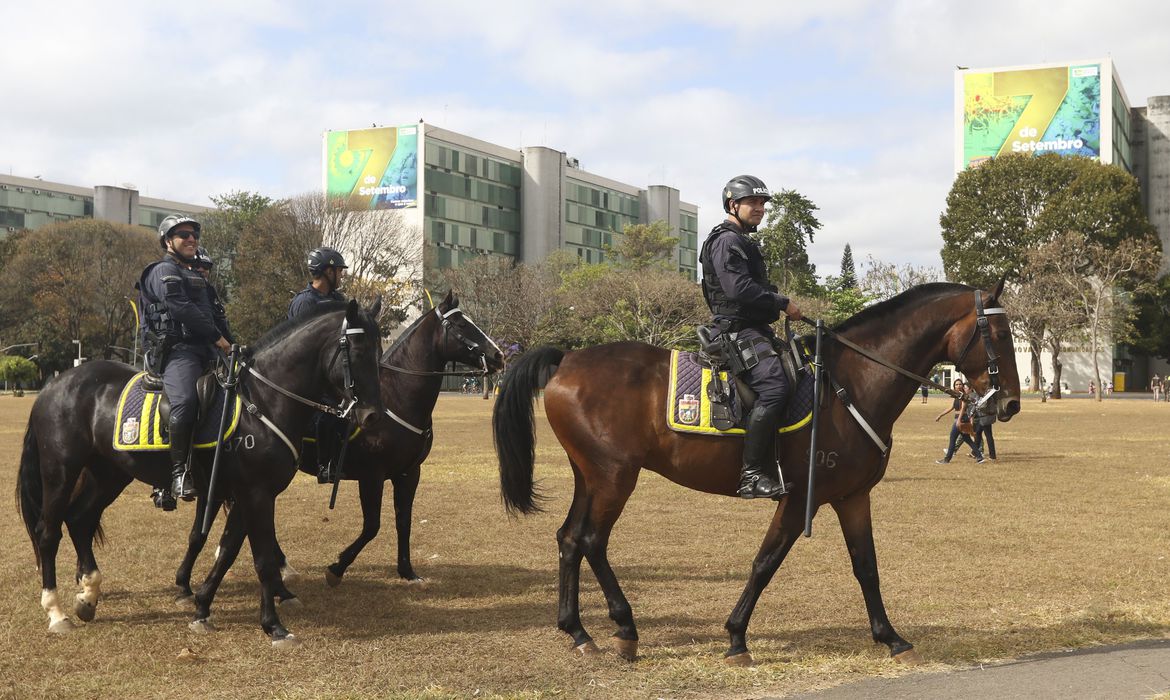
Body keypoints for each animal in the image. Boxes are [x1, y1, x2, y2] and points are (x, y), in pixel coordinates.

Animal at [17, 298, 383, 650]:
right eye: (358, 352)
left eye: (380, 353)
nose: (372, 416)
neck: (264, 401)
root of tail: (55, 384)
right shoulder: (255, 494)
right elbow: (262, 559)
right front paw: (273, 626)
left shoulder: (246, 495)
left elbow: (228, 551)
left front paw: (203, 607)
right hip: (61, 472)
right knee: (48, 533)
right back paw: (56, 612)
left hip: (108, 474)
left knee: (80, 519)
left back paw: (88, 596)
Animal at [171, 290, 503, 596]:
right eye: (461, 324)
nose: (499, 355)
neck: (398, 397)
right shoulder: (372, 476)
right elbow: (372, 526)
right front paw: (337, 568)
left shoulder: (409, 474)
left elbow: (403, 521)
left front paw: (407, 571)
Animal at [489, 282, 1020, 664]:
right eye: (998, 336)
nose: (1010, 404)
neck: (849, 384)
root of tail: (569, 358)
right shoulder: (798, 496)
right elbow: (765, 563)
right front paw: (736, 638)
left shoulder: (852, 496)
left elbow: (866, 566)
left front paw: (891, 637)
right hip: (615, 478)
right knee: (592, 541)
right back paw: (624, 627)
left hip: (591, 477)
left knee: (569, 539)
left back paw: (578, 631)